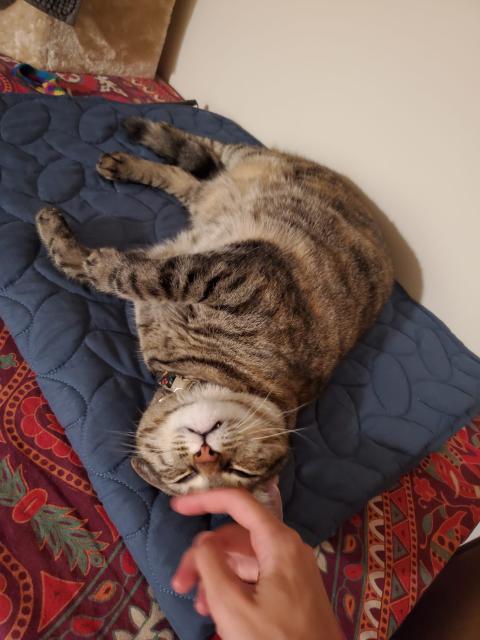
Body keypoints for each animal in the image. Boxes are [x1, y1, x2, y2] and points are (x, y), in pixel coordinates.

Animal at [35, 117, 392, 498]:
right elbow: (131, 274)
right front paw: (74, 244)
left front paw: (88, 256)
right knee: (199, 153)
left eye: (238, 472)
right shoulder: (223, 274)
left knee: (189, 180)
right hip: (240, 154)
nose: (206, 455)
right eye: (184, 475)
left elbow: (125, 274)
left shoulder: (230, 271)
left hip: (209, 197)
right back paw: (131, 146)